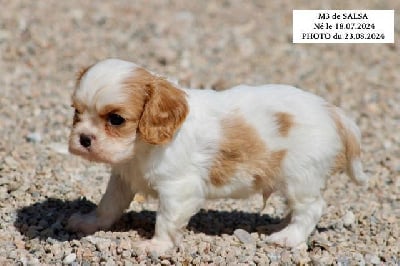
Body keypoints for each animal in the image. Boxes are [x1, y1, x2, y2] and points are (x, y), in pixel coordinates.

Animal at [66, 58, 368, 254]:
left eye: (116, 119)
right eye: (77, 112)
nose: (83, 139)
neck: (140, 149)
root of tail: (331, 110)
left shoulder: (179, 189)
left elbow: (166, 219)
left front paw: (157, 245)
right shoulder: (123, 178)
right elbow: (108, 204)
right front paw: (90, 223)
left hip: (301, 177)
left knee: (311, 208)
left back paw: (288, 238)